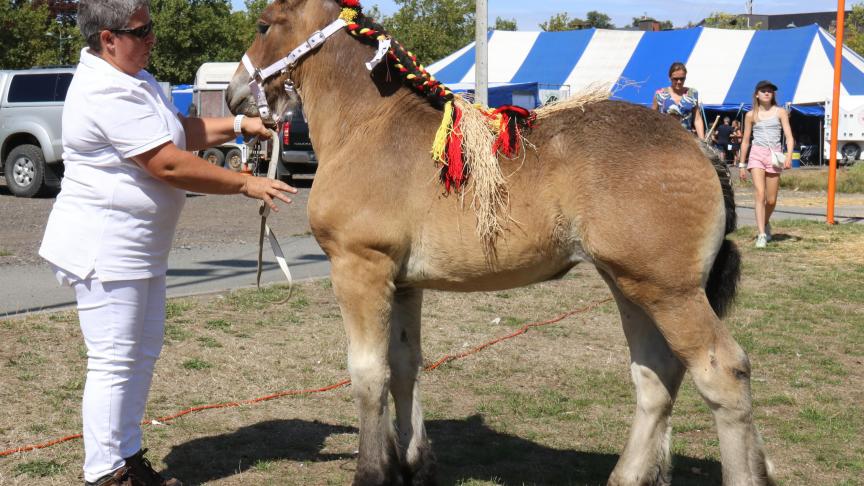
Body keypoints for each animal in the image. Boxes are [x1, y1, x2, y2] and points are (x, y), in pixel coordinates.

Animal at [228, 1, 776, 484]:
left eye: (262, 24)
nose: (232, 94)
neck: (367, 127)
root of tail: (700, 146)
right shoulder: (404, 283)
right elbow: (405, 367)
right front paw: (415, 465)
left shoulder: (360, 268)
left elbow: (368, 374)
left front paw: (373, 471)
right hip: (631, 287)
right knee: (656, 375)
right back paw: (627, 475)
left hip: (671, 292)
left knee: (723, 372)